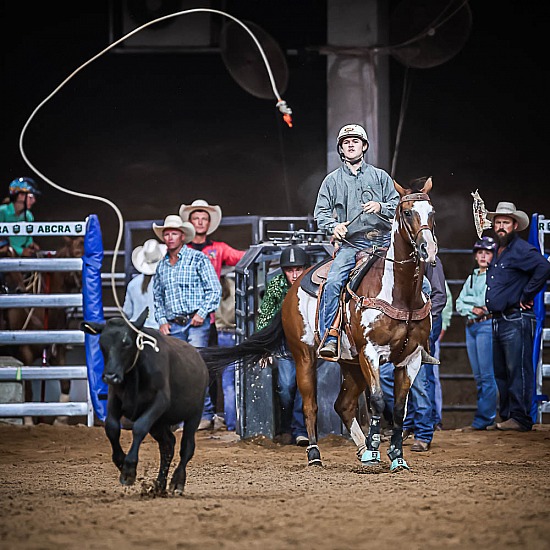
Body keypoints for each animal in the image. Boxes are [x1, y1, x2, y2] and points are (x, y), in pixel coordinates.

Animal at [203, 179, 440, 472]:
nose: (427, 249)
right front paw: (375, 448)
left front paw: (396, 456)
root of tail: (291, 291)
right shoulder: (370, 353)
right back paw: (315, 453)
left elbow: (398, 409)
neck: (400, 293)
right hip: (305, 357)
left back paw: (361, 449)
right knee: (310, 406)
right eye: (407, 212)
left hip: (351, 363)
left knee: (343, 405)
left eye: (432, 212)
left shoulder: (411, 358)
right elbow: (377, 400)